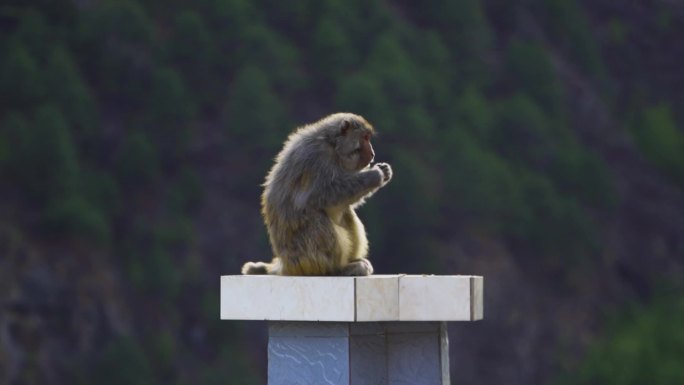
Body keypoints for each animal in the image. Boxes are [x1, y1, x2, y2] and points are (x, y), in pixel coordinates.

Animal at [240, 112, 392, 276]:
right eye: (365, 138)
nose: (372, 153)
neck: (333, 145)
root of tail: (285, 265)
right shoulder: (317, 156)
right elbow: (320, 195)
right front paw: (375, 175)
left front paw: (385, 171)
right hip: (304, 257)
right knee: (316, 217)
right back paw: (336, 269)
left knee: (346, 211)